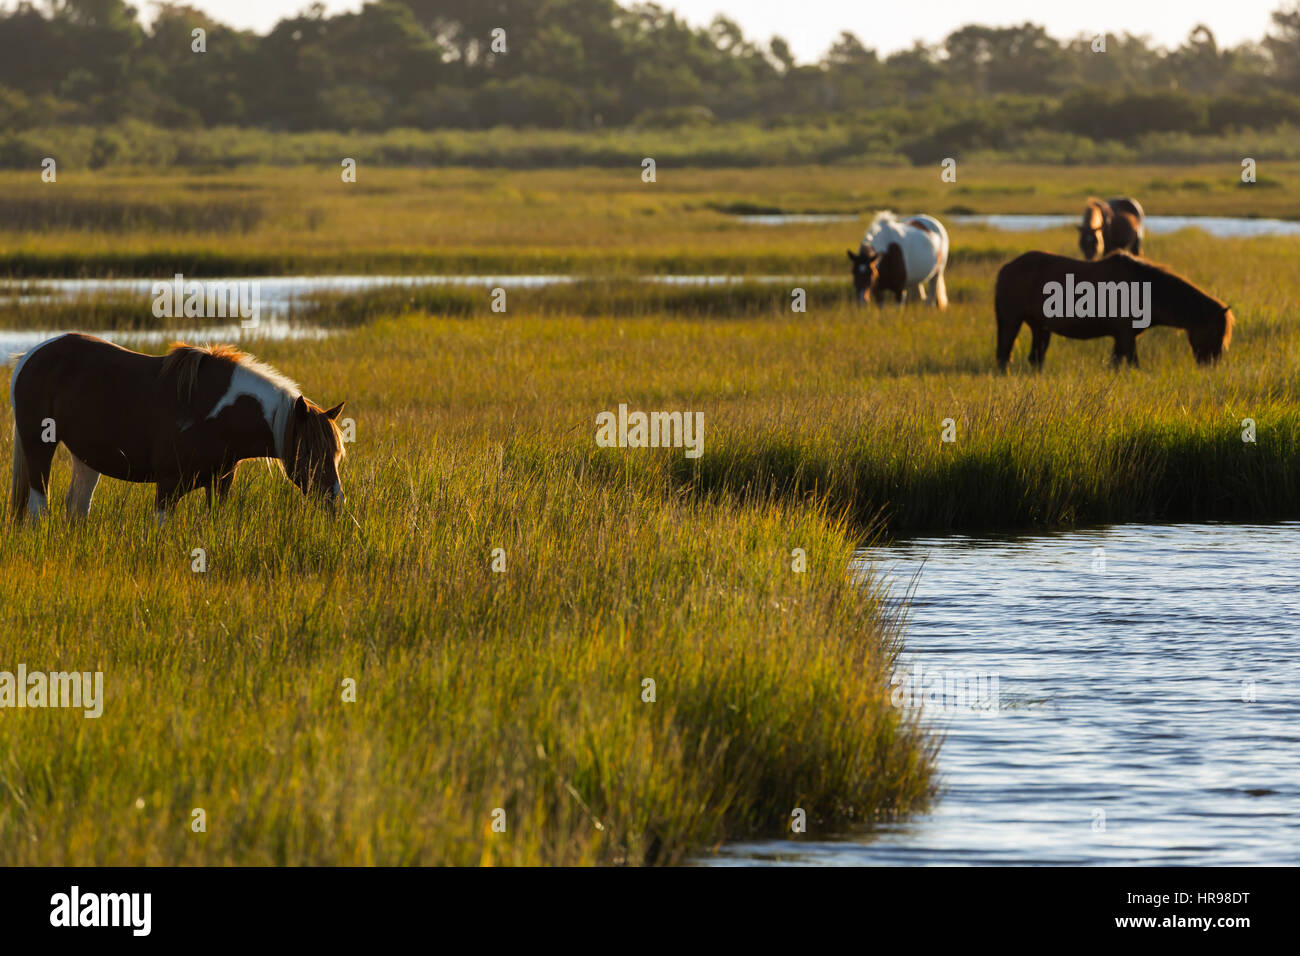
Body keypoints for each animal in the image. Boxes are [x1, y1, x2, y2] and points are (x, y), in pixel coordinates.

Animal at [9, 333, 346, 523]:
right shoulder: (168, 485)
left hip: (87, 456)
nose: (336, 501)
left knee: (77, 507)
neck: (219, 416)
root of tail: (29, 357)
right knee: (39, 505)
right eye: (308, 453)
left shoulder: (219, 484)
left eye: (335, 454)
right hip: (39, 445)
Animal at [995, 251, 1233, 371]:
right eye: (1216, 332)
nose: (1212, 365)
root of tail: (1006, 268)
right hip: (1011, 322)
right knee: (1004, 353)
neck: (1144, 287)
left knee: (1035, 358)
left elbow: (1115, 364)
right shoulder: (1126, 336)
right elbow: (1134, 364)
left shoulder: (1121, 338)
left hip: (1040, 328)